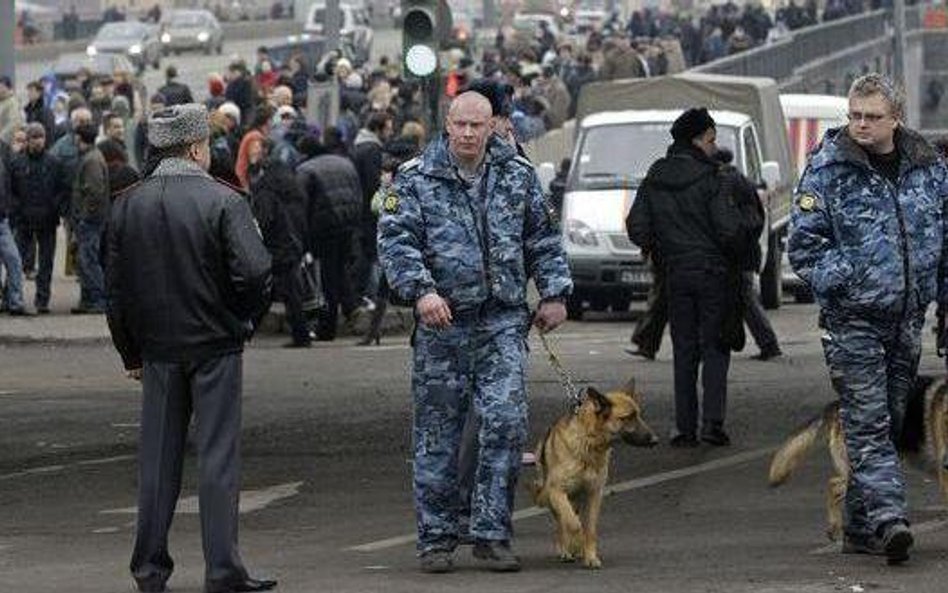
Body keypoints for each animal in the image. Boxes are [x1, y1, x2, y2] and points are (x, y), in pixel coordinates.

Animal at [532, 380, 660, 568]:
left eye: (639, 415)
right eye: (627, 417)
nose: (655, 440)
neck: (589, 443)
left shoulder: (594, 494)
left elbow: (590, 529)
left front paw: (590, 556)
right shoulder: (557, 492)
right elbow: (573, 524)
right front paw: (577, 543)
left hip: (577, 500)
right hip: (555, 498)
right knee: (563, 522)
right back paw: (566, 549)